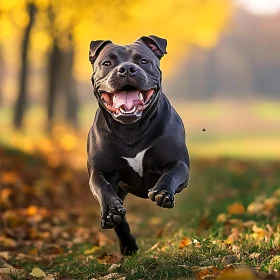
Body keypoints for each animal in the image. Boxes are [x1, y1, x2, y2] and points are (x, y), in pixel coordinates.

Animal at [86, 35, 189, 256]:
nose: (126, 68)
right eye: (107, 63)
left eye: (143, 61)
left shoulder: (179, 163)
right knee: (121, 220)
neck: (130, 128)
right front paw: (111, 211)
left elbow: (172, 174)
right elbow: (102, 188)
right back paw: (126, 242)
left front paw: (162, 193)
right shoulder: (100, 171)